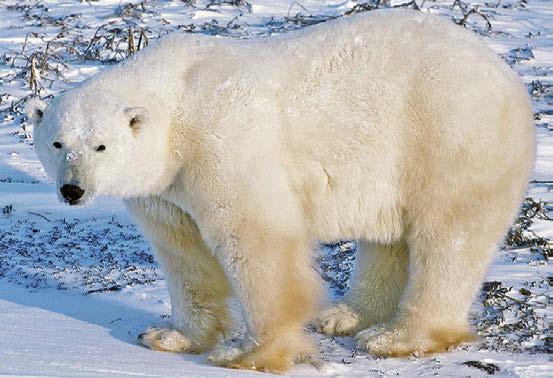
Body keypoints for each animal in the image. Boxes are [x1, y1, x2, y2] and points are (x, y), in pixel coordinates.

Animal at [27, 8, 536, 372]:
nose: (72, 190)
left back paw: (396, 337)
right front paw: (170, 336)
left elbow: (256, 240)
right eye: (57, 142)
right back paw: (344, 316)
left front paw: (249, 354)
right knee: (388, 236)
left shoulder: (222, 145)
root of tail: (505, 74)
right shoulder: (166, 184)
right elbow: (183, 251)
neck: (177, 104)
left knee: (448, 238)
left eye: (101, 145)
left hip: (448, 136)